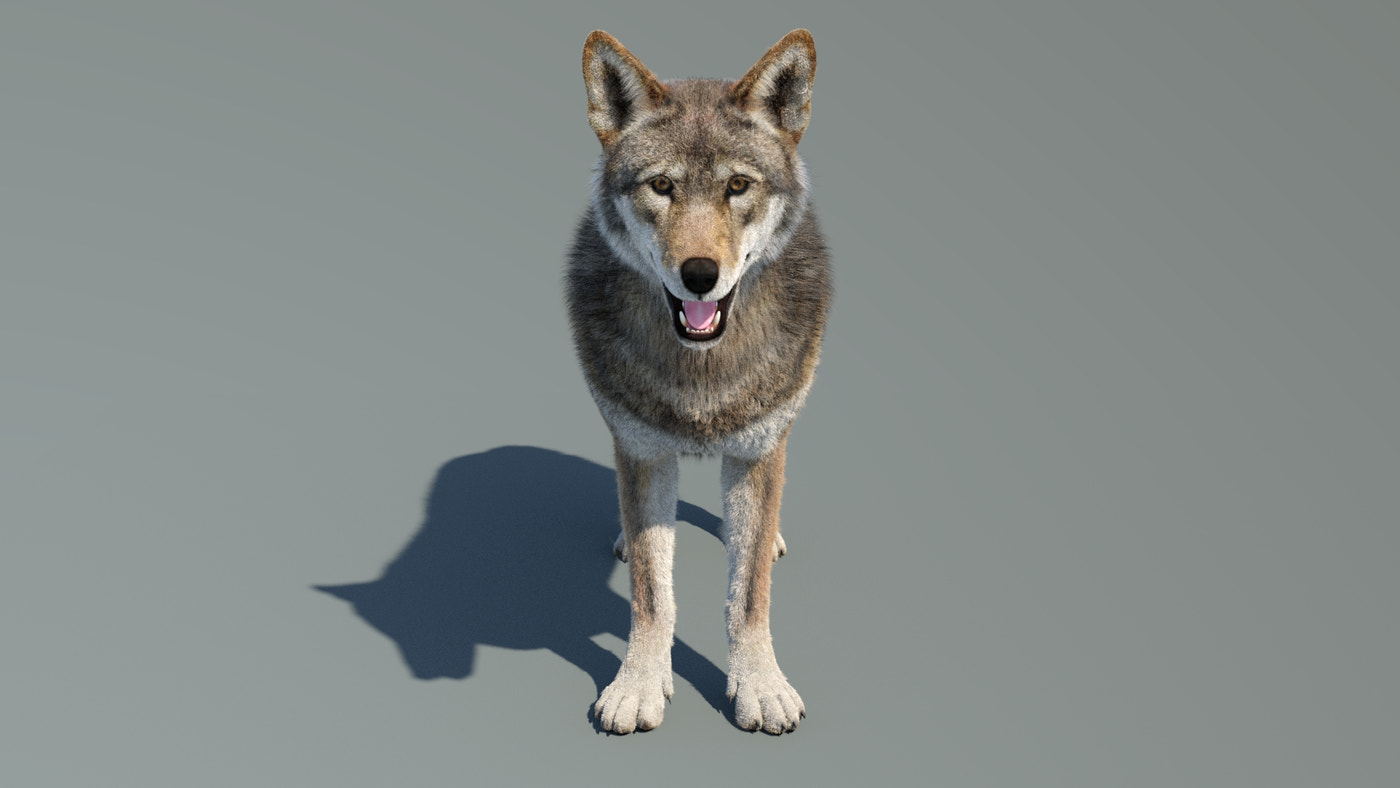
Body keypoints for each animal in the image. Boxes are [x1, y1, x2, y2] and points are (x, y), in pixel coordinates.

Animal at [565, 29, 832, 735]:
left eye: (738, 185)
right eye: (662, 186)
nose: (700, 274)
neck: (702, 372)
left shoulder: (758, 451)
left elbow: (749, 596)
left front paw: (761, 686)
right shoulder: (642, 452)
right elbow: (652, 594)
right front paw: (636, 685)